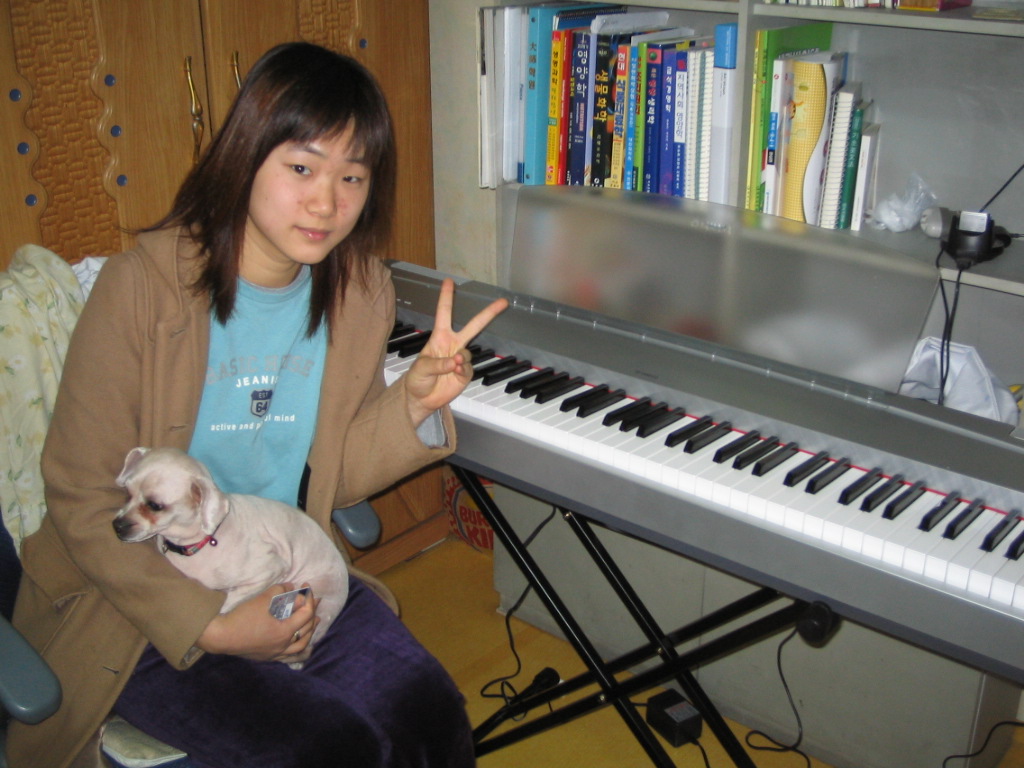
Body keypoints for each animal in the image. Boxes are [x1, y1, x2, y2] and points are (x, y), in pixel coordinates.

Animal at [113, 446, 348, 667]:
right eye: (127, 493)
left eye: (155, 505)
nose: (116, 526)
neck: (201, 542)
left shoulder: (270, 570)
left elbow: (225, 606)